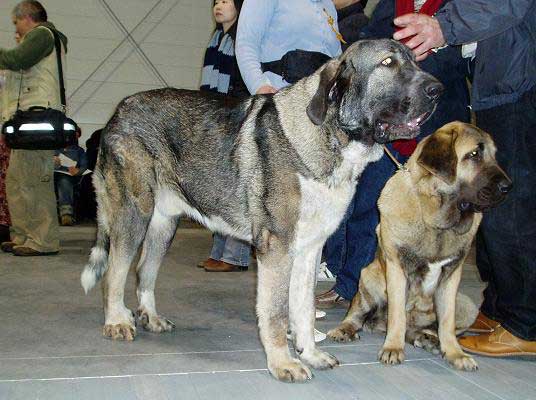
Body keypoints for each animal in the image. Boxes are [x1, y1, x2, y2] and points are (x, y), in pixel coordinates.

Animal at [81, 39, 442, 382]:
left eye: (415, 60)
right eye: (388, 62)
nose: (437, 90)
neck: (329, 134)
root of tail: (119, 110)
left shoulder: (308, 250)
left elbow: (303, 307)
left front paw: (310, 354)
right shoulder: (277, 247)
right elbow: (276, 312)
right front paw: (284, 363)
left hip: (163, 225)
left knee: (145, 271)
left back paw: (151, 318)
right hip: (134, 213)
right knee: (114, 272)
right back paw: (117, 321)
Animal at [328, 122, 512, 372]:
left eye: (494, 155)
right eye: (474, 154)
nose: (508, 187)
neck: (436, 219)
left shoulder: (451, 277)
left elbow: (446, 321)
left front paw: (455, 353)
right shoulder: (397, 270)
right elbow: (397, 315)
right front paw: (392, 348)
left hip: (467, 306)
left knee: (419, 328)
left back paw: (427, 339)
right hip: (369, 277)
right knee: (358, 314)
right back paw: (344, 330)